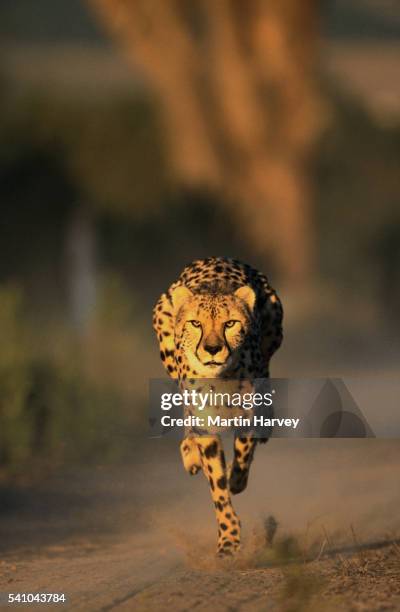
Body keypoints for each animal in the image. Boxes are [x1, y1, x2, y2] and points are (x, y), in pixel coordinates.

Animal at [152, 256, 282, 556]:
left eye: (230, 323)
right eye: (196, 323)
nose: (212, 349)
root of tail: (217, 258)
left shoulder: (246, 414)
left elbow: (243, 453)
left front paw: (237, 480)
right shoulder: (204, 424)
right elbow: (217, 485)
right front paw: (229, 538)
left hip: (274, 332)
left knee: (267, 374)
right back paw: (189, 453)